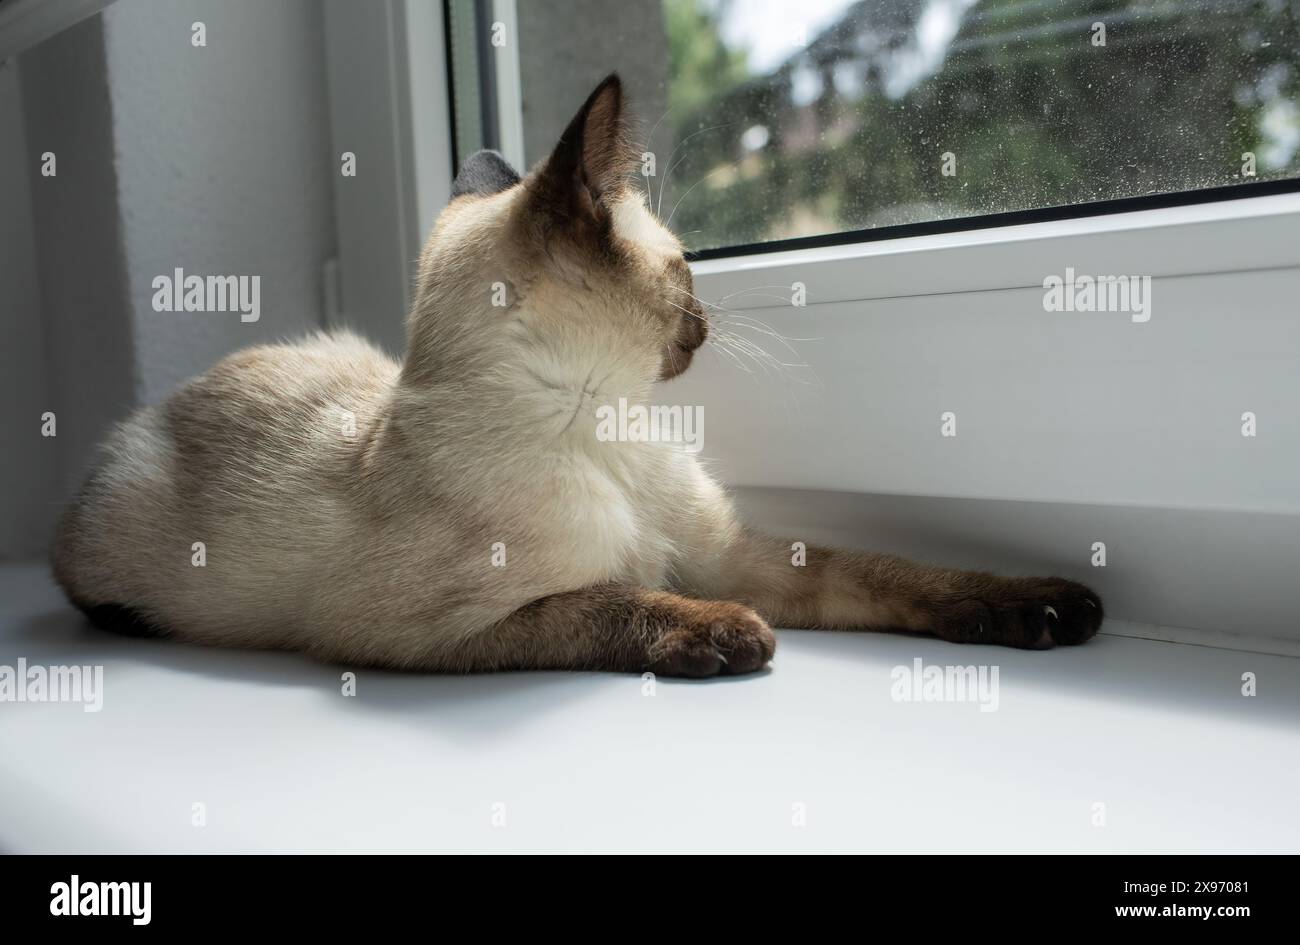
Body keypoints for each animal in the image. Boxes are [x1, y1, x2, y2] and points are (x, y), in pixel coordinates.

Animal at [53, 77, 1107, 675]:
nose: (706, 319)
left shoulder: (733, 553)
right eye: (687, 268)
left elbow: (897, 570)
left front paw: (1054, 606)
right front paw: (732, 636)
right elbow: (612, 601)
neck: (608, 423)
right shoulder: (417, 633)